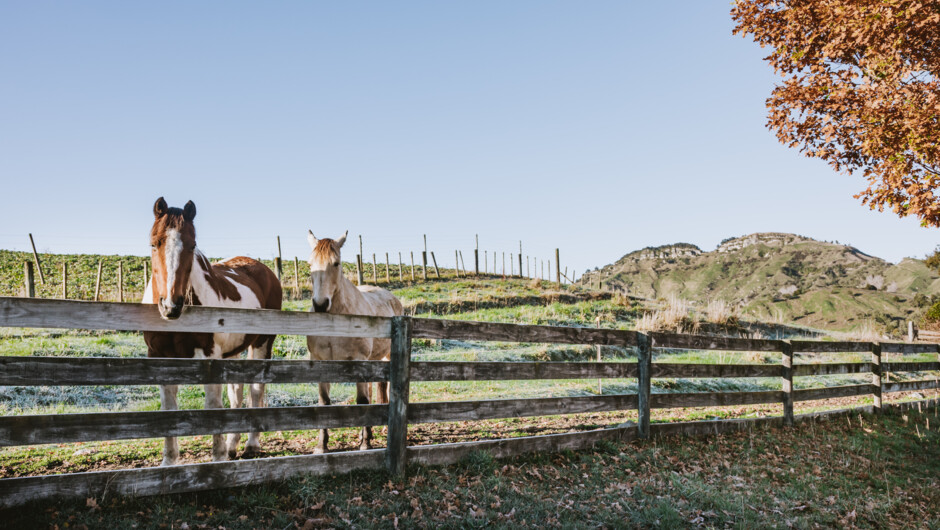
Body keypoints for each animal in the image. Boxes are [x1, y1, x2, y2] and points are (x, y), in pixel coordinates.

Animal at [142, 197, 282, 465]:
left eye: (192, 245)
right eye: (154, 243)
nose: (172, 305)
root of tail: (265, 270)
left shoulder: (209, 357)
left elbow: (213, 406)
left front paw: (217, 458)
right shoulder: (159, 357)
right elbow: (168, 410)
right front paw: (168, 462)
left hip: (261, 344)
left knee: (255, 391)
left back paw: (250, 446)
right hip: (233, 352)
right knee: (237, 393)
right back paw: (232, 447)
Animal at [305, 230, 403, 453]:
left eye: (336, 263)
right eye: (310, 264)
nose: (320, 305)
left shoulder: (359, 361)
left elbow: (362, 401)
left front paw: (365, 444)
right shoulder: (321, 361)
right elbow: (324, 402)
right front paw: (322, 446)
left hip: (383, 357)